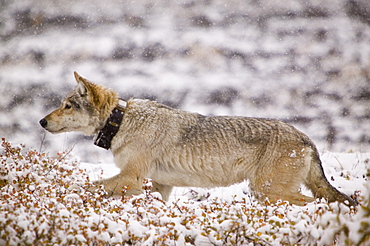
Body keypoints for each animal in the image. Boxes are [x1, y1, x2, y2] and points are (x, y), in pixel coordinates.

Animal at [39, 72, 356, 207]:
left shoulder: (131, 178)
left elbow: (86, 186)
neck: (122, 122)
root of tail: (306, 138)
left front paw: (63, 194)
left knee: (319, 204)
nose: (41, 121)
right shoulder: (159, 186)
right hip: (267, 194)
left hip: (268, 192)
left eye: (67, 106)